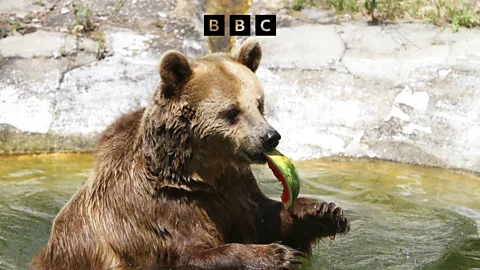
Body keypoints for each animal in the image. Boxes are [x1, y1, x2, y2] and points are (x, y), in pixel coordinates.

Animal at [31, 38, 350, 270]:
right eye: (232, 111)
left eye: (259, 104)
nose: (270, 137)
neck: (198, 173)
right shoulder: (157, 210)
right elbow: (191, 253)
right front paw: (274, 255)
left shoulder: (235, 190)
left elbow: (266, 218)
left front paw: (324, 212)